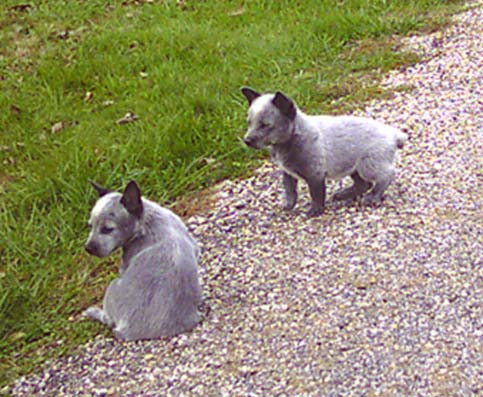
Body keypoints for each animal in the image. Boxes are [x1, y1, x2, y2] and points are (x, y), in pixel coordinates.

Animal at [83, 181, 202, 338]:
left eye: (107, 229)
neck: (147, 220)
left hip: (112, 286)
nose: (88, 248)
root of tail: (127, 331)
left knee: (108, 320)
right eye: (90, 226)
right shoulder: (195, 246)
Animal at [242, 87, 408, 217]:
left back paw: (372, 197)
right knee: (364, 184)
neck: (292, 138)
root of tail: (393, 134)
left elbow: (316, 194)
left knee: (386, 176)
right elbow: (290, 191)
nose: (247, 141)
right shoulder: (288, 173)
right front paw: (289, 206)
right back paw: (343, 195)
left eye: (265, 125)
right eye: (249, 123)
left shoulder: (314, 175)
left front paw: (315, 211)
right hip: (353, 167)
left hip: (367, 166)